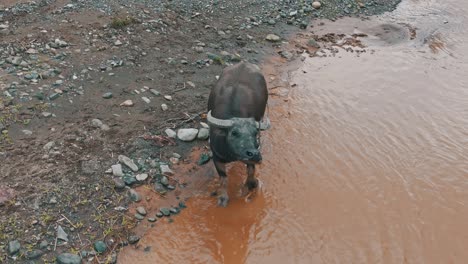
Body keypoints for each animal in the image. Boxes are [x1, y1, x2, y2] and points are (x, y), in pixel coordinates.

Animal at [207, 61, 268, 206]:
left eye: (255, 133)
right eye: (234, 132)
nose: (255, 155)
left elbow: (251, 172)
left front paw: (250, 186)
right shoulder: (216, 156)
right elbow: (223, 179)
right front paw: (223, 198)